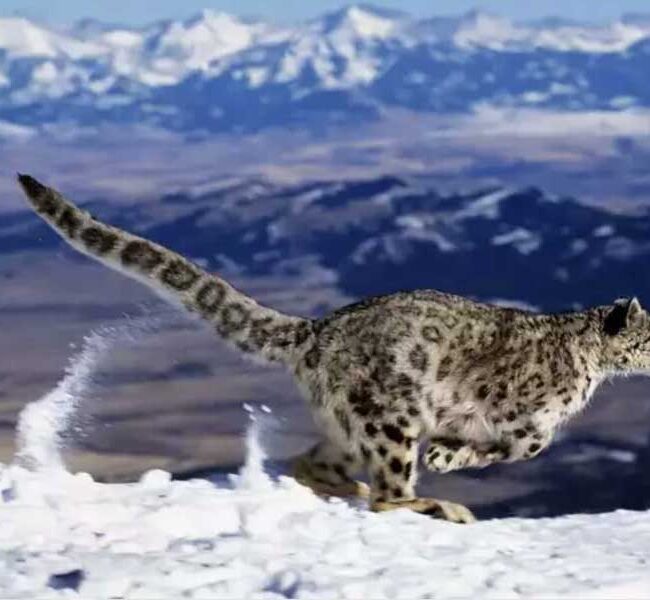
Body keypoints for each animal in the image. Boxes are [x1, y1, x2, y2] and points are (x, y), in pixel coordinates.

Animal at [16, 172, 648, 520]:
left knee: (313, 462)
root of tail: (319, 329)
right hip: (392, 420)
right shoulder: (518, 417)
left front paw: (449, 456)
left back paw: (348, 485)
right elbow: (525, 445)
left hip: (352, 427)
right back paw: (439, 506)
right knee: (388, 494)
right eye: (648, 337)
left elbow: (511, 448)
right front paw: (450, 460)